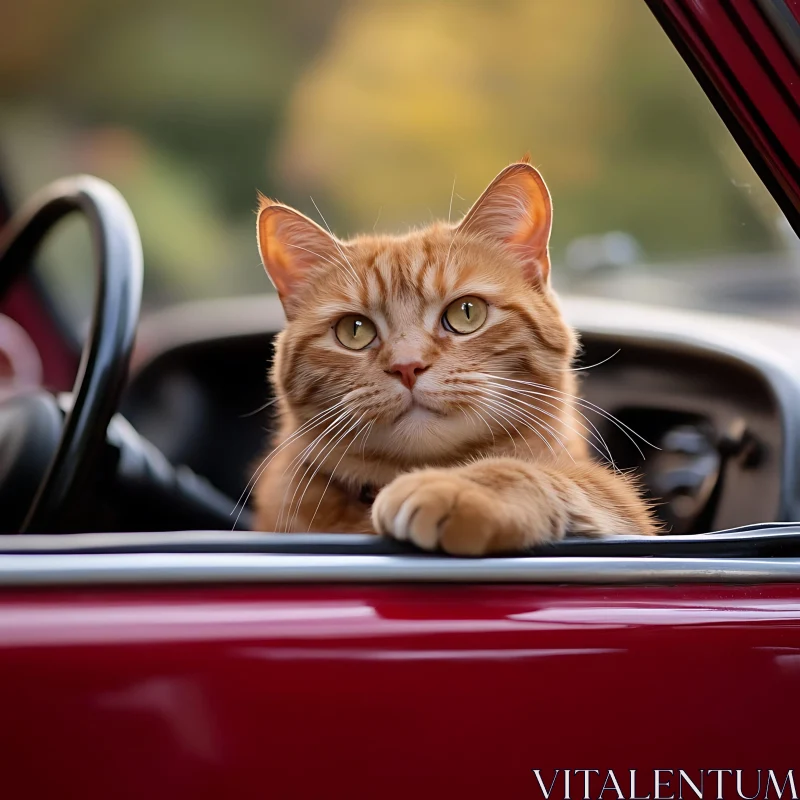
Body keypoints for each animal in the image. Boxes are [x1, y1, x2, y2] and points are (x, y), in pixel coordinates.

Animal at [252, 159, 656, 552]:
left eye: (466, 313)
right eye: (354, 330)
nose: (407, 366)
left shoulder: (624, 508)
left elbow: (550, 475)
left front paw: (458, 487)